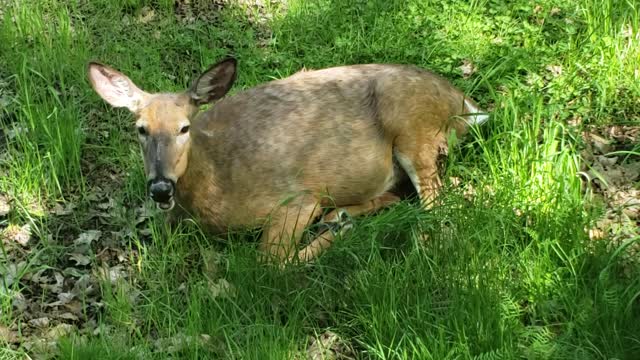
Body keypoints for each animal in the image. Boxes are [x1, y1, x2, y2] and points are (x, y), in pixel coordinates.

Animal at [86, 57, 490, 262]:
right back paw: (341, 216)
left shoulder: (297, 198)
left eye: (185, 127)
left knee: (441, 200)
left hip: (414, 130)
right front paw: (339, 225)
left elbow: (271, 261)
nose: (159, 187)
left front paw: (334, 236)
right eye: (141, 128)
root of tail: (463, 104)